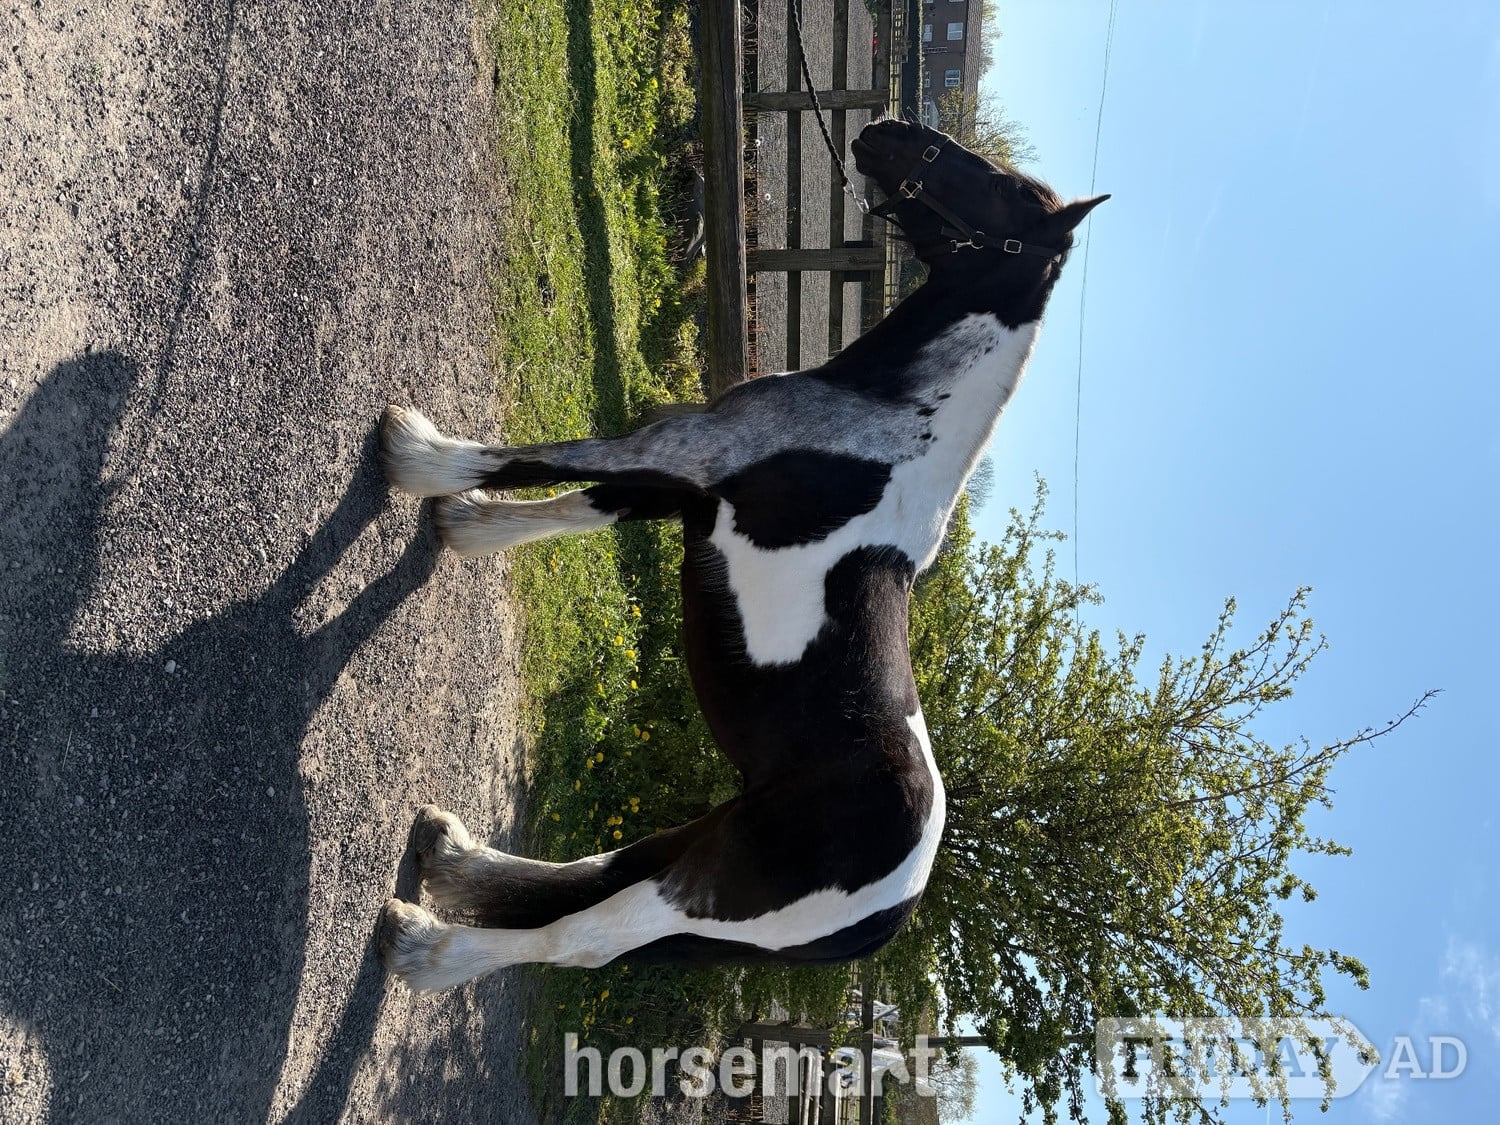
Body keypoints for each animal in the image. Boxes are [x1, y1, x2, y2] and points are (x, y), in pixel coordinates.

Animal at [376, 118, 1106, 990]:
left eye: (1005, 190)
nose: (884, 131)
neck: (891, 421)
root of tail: (892, 909)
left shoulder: (680, 453)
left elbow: (541, 461)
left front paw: (418, 457)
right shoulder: (686, 491)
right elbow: (576, 505)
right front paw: (467, 525)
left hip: (711, 885)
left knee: (584, 936)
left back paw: (427, 946)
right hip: (710, 841)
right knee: (597, 874)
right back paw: (450, 856)